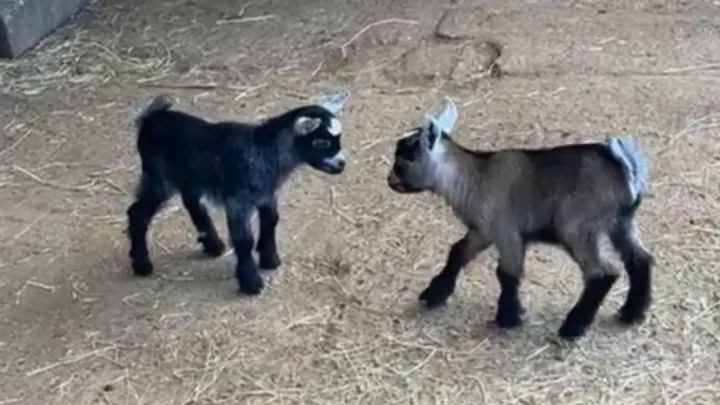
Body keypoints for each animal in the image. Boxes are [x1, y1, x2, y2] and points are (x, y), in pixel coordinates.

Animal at [126, 89, 351, 295]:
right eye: (321, 142)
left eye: (338, 140)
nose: (341, 165)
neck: (265, 150)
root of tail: (150, 118)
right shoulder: (238, 199)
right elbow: (244, 240)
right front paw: (251, 282)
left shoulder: (266, 194)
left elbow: (271, 221)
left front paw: (270, 259)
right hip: (158, 176)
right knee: (137, 212)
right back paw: (142, 265)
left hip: (188, 175)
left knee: (191, 202)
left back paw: (213, 245)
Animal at [386, 98, 654, 340]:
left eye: (403, 159)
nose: (390, 181)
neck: (474, 176)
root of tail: (626, 170)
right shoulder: (482, 231)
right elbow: (458, 252)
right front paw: (434, 294)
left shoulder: (507, 232)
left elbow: (507, 272)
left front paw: (508, 317)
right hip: (621, 223)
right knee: (640, 260)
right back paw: (632, 313)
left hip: (576, 227)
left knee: (603, 273)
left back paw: (573, 327)